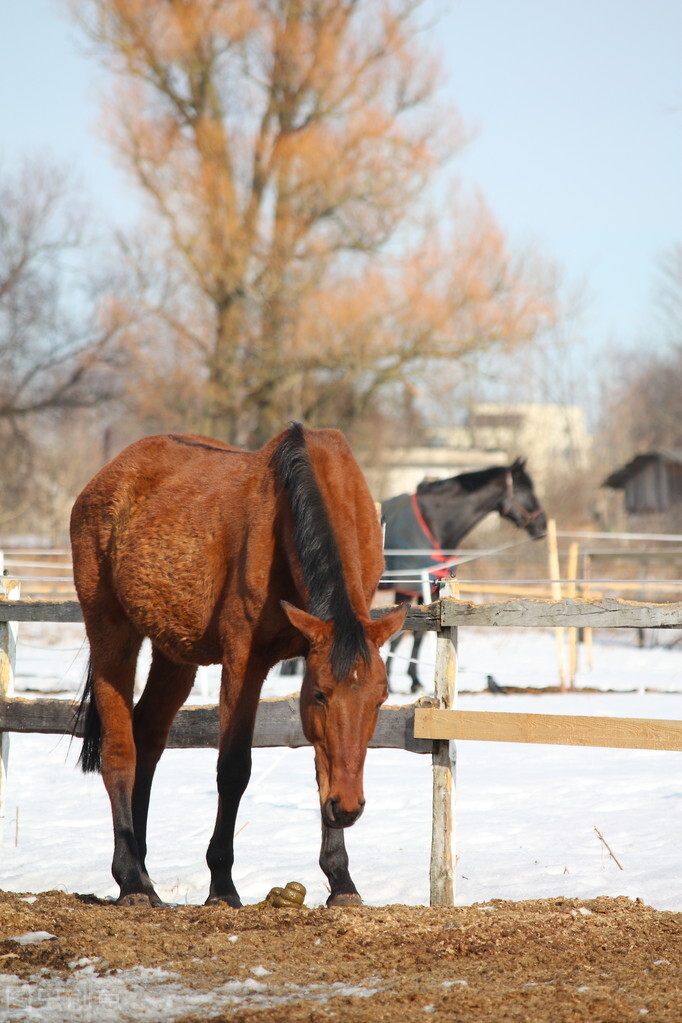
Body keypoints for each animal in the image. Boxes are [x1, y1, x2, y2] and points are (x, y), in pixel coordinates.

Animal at [70, 423, 404, 912]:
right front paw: (222, 884)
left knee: (147, 737)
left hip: (175, 655)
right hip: (112, 633)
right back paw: (131, 880)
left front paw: (341, 879)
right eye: (320, 694)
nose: (348, 807)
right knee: (120, 752)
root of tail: (106, 477)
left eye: (380, 699)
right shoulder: (244, 660)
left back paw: (144, 870)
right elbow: (233, 770)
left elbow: (325, 763)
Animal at [382, 460, 548, 691]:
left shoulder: (432, 587)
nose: (542, 525)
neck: (434, 521)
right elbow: (397, 635)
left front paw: (415, 681)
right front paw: (389, 682)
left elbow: (418, 634)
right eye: (524, 488)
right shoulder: (405, 586)